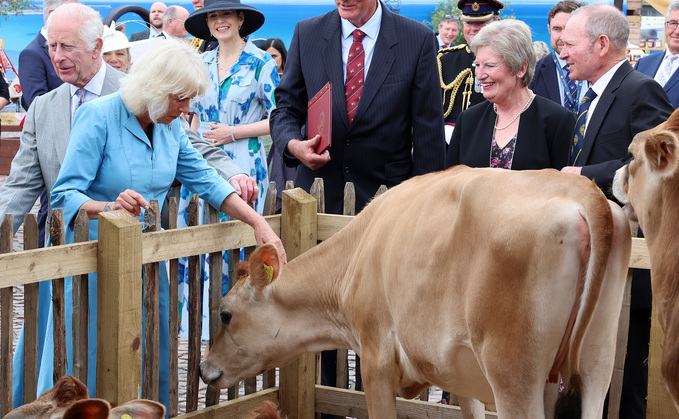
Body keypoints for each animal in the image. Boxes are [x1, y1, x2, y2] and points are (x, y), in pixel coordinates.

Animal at [202, 167, 632, 419]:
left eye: (225, 313)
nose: (205, 369)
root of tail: (581, 189)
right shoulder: (461, 373)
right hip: (595, 366)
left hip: (514, 375)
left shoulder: (376, 360)